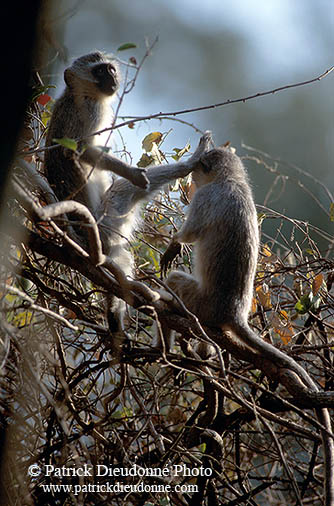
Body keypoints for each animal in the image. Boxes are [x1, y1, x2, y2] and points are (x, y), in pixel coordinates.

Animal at [44, 51, 211, 336]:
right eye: (100, 71)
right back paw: (188, 164)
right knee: (123, 196)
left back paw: (113, 314)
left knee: (118, 257)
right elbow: (80, 150)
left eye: (110, 69)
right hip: (106, 222)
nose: (112, 79)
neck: (80, 94)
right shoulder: (89, 112)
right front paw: (134, 173)